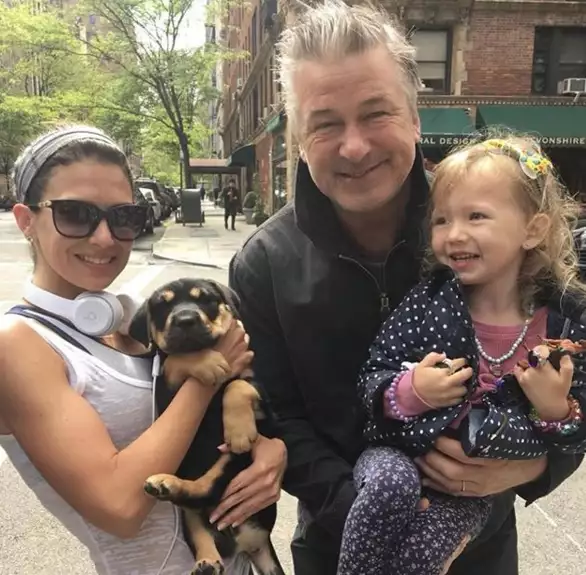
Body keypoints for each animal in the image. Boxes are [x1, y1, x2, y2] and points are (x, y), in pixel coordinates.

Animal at [128, 278, 285, 575]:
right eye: (163, 306)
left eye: (206, 300)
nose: (185, 320)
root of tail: (250, 541)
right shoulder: (166, 390)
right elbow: (174, 360)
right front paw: (208, 362)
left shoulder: (263, 402)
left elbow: (237, 385)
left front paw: (239, 432)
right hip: (194, 513)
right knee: (200, 508)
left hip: (231, 462)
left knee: (208, 488)